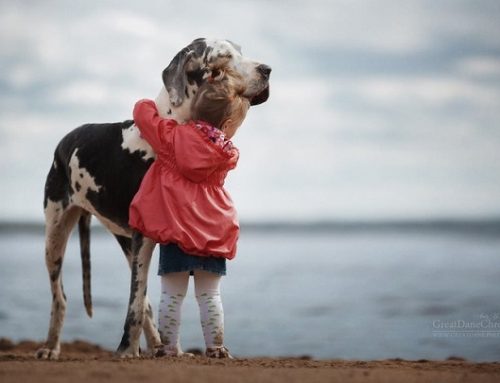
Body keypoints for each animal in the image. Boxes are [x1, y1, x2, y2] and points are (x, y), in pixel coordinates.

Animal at [36, 39, 272, 360]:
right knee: (60, 296)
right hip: (55, 236)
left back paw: (157, 345)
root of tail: (64, 139)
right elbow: (135, 303)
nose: (267, 69)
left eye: (241, 51)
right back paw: (51, 347)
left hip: (125, 242)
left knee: (144, 300)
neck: (174, 125)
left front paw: (167, 349)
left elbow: (150, 299)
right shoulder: (144, 238)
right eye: (223, 59)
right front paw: (126, 350)